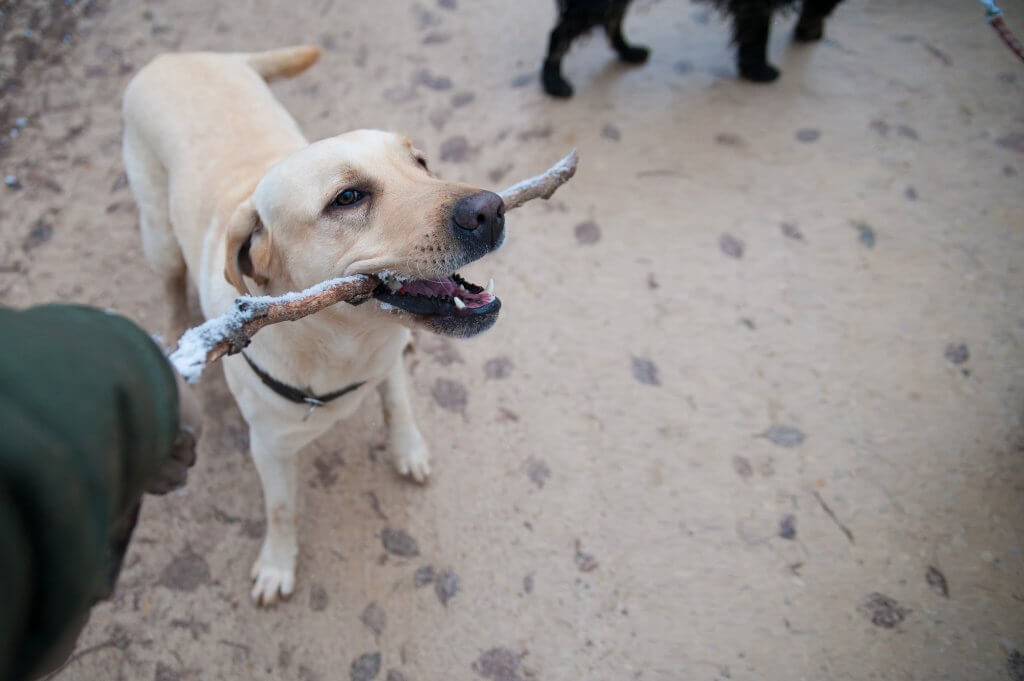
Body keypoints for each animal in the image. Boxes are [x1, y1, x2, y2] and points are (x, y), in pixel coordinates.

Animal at [123, 45, 503, 602]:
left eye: (420, 162)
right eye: (347, 198)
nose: (492, 209)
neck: (344, 345)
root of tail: (178, 55)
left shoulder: (385, 361)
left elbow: (398, 403)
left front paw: (408, 448)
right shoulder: (269, 449)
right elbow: (283, 510)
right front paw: (278, 564)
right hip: (157, 234)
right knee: (170, 282)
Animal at [540, 0, 843, 96]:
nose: (813, 36)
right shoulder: (755, 5)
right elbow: (757, 32)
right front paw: (760, 70)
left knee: (612, 21)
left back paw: (630, 51)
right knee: (560, 33)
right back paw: (554, 81)